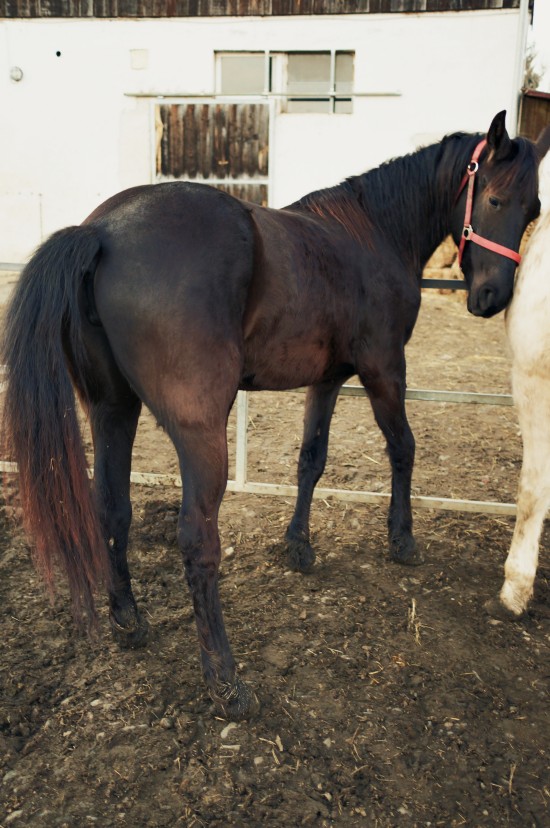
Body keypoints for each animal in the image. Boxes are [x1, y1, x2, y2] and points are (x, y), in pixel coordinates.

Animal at [4, 111, 550, 720]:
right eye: (496, 199)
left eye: (534, 209)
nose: (492, 296)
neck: (371, 233)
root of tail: (101, 233)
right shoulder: (384, 368)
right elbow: (403, 447)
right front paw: (402, 540)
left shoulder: (328, 378)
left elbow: (311, 459)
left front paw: (299, 546)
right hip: (199, 433)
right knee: (196, 539)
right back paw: (224, 680)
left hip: (112, 409)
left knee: (112, 509)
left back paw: (128, 619)